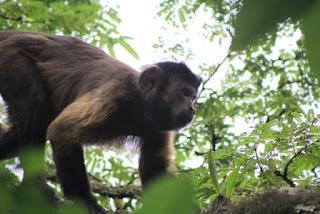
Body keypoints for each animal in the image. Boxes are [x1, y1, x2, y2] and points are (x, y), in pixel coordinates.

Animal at [0, 30, 201, 213]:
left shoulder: (158, 126)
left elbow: (155, 171)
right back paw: (34, 186)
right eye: (184, 93)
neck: (139, 105)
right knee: (36, 107)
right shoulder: (114, 95)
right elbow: (61, 131)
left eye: (193, 97)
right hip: (10, 57)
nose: (192, 109)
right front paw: (86, 203)